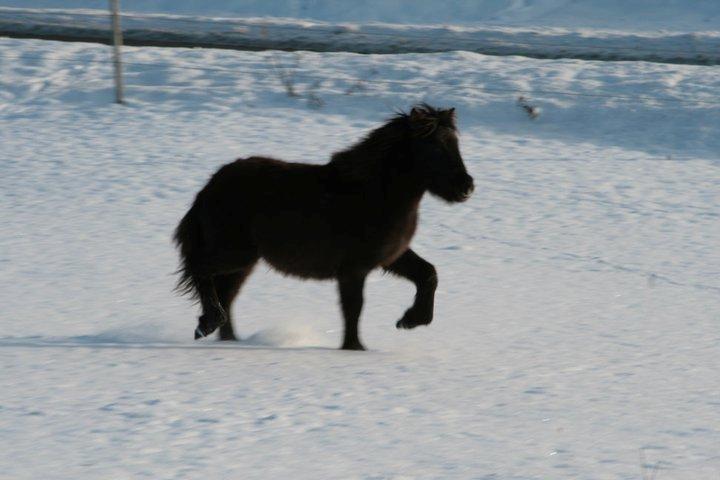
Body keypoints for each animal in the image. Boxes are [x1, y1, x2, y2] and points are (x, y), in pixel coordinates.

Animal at [174, 105, 472, 350]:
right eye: (435, 147)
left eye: (455, 143)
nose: (466, 187)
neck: (375, 193)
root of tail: (211, 186)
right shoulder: (353, 269)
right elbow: (353, 309)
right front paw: (354, 348)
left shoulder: (390, 257)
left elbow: (428, 274)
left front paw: (410, 320)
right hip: (235, 254)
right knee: (203, 272)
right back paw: (207, 324)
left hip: (243, 263)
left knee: (226, 296)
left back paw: (229, 339)